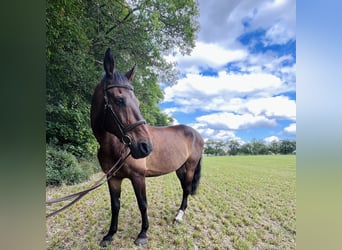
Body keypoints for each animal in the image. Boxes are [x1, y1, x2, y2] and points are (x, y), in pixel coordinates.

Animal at [90, 48, 203, 246]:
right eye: (119, 100)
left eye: (138, 103)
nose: (145, 147)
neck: (115, 146)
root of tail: (197, 134)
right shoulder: (113, 178)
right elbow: (115, 205)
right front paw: (110, 235)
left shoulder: (138, 177)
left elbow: (143, 204)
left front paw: (143, 234)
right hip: (180, 168)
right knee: (184, 188)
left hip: (190, 167)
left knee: (187, 189)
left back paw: (179, 216)